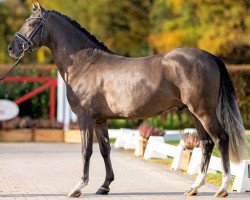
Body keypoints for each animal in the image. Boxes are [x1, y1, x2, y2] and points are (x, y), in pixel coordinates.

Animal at [7, 1, 246, 198]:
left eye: (32, 23)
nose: (11, 48)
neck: (85, 64)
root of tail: (209, 55)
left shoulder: (85, 118)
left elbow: (86, 150)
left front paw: (78, 187)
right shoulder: (100, 120)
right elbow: (105, 150)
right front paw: (104, 186)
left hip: (204, 111)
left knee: (221, 139)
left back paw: (223, 188)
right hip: (195, 113)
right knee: (206, 143)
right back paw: (194, 187)